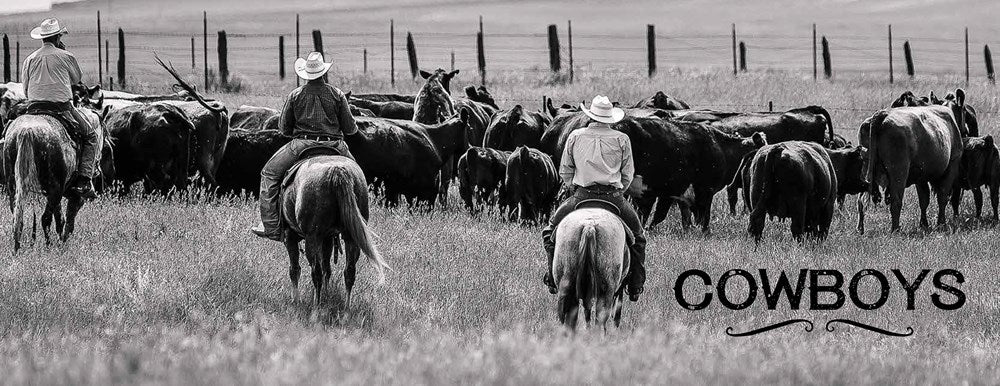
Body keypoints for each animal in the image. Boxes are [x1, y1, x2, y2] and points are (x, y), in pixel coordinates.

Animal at [2, 108, 106, 252]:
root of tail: (26, 131)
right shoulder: (76, 197)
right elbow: (69, 221)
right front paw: (63, 244)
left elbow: (60, 219)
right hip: (55, 190)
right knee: (45, 219)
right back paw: (49, 246)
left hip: (14, 187)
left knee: (18, 218)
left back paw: (17, 248)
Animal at [284, 155, 392, 318]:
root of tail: (337, 171)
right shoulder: (328, 238)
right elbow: (327, 268)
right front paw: (327, 296)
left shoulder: (290, 237)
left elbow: (295, 269)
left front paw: (296, 301)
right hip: (350, 237)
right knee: (349, 271)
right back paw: (346, 309)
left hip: (312, 238)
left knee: (316, 272)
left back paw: (316, 307)